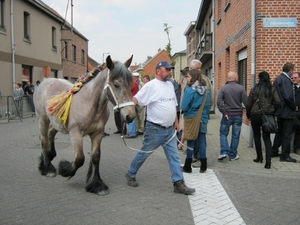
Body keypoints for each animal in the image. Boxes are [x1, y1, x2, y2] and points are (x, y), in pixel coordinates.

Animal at [33, 55, 135, 195]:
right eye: (116, 84)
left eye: (130, 84)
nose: (130, 115)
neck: (89, 103)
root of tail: (44, 82)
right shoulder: (75, 133)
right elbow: (79, 159)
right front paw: (64, 169)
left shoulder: (98, 133)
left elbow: (96, 157)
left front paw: (96, 185)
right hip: (42, 119)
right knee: (43, 140)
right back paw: (48, 168)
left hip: (56, 122)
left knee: (50, 134)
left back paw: (49, 156)